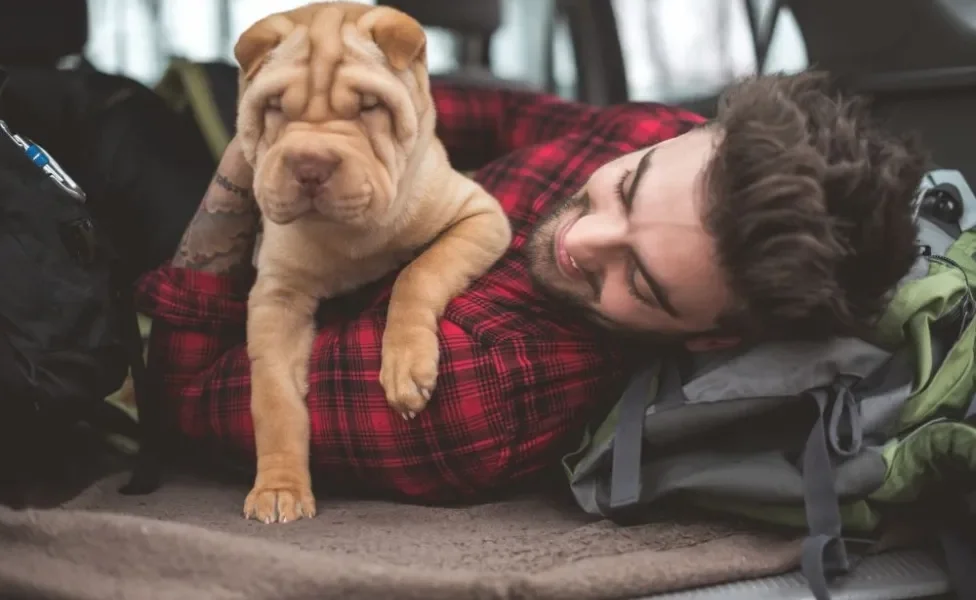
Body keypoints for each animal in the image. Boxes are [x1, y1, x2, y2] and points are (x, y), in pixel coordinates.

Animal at [234, 2, 516, 524]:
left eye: (369, 106)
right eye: (276, 106)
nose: (309, 166)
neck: (350, 235)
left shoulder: (480, 217)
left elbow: (417, 273)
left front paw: (406, 367)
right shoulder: (277, 296)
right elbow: (274, 396)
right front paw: (279, 488)